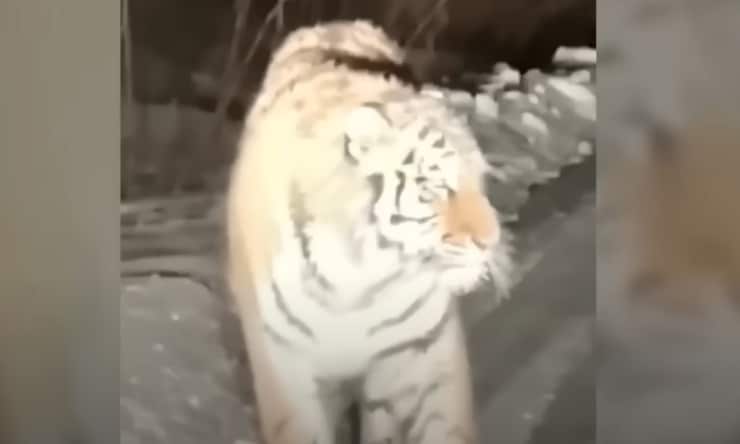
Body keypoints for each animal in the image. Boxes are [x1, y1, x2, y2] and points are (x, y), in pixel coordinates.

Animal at [226, 20, 514, 444]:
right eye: (437, 187)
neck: (357, 283)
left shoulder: (421, 354)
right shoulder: (286, 366)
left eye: (480, 179)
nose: (489, 242)